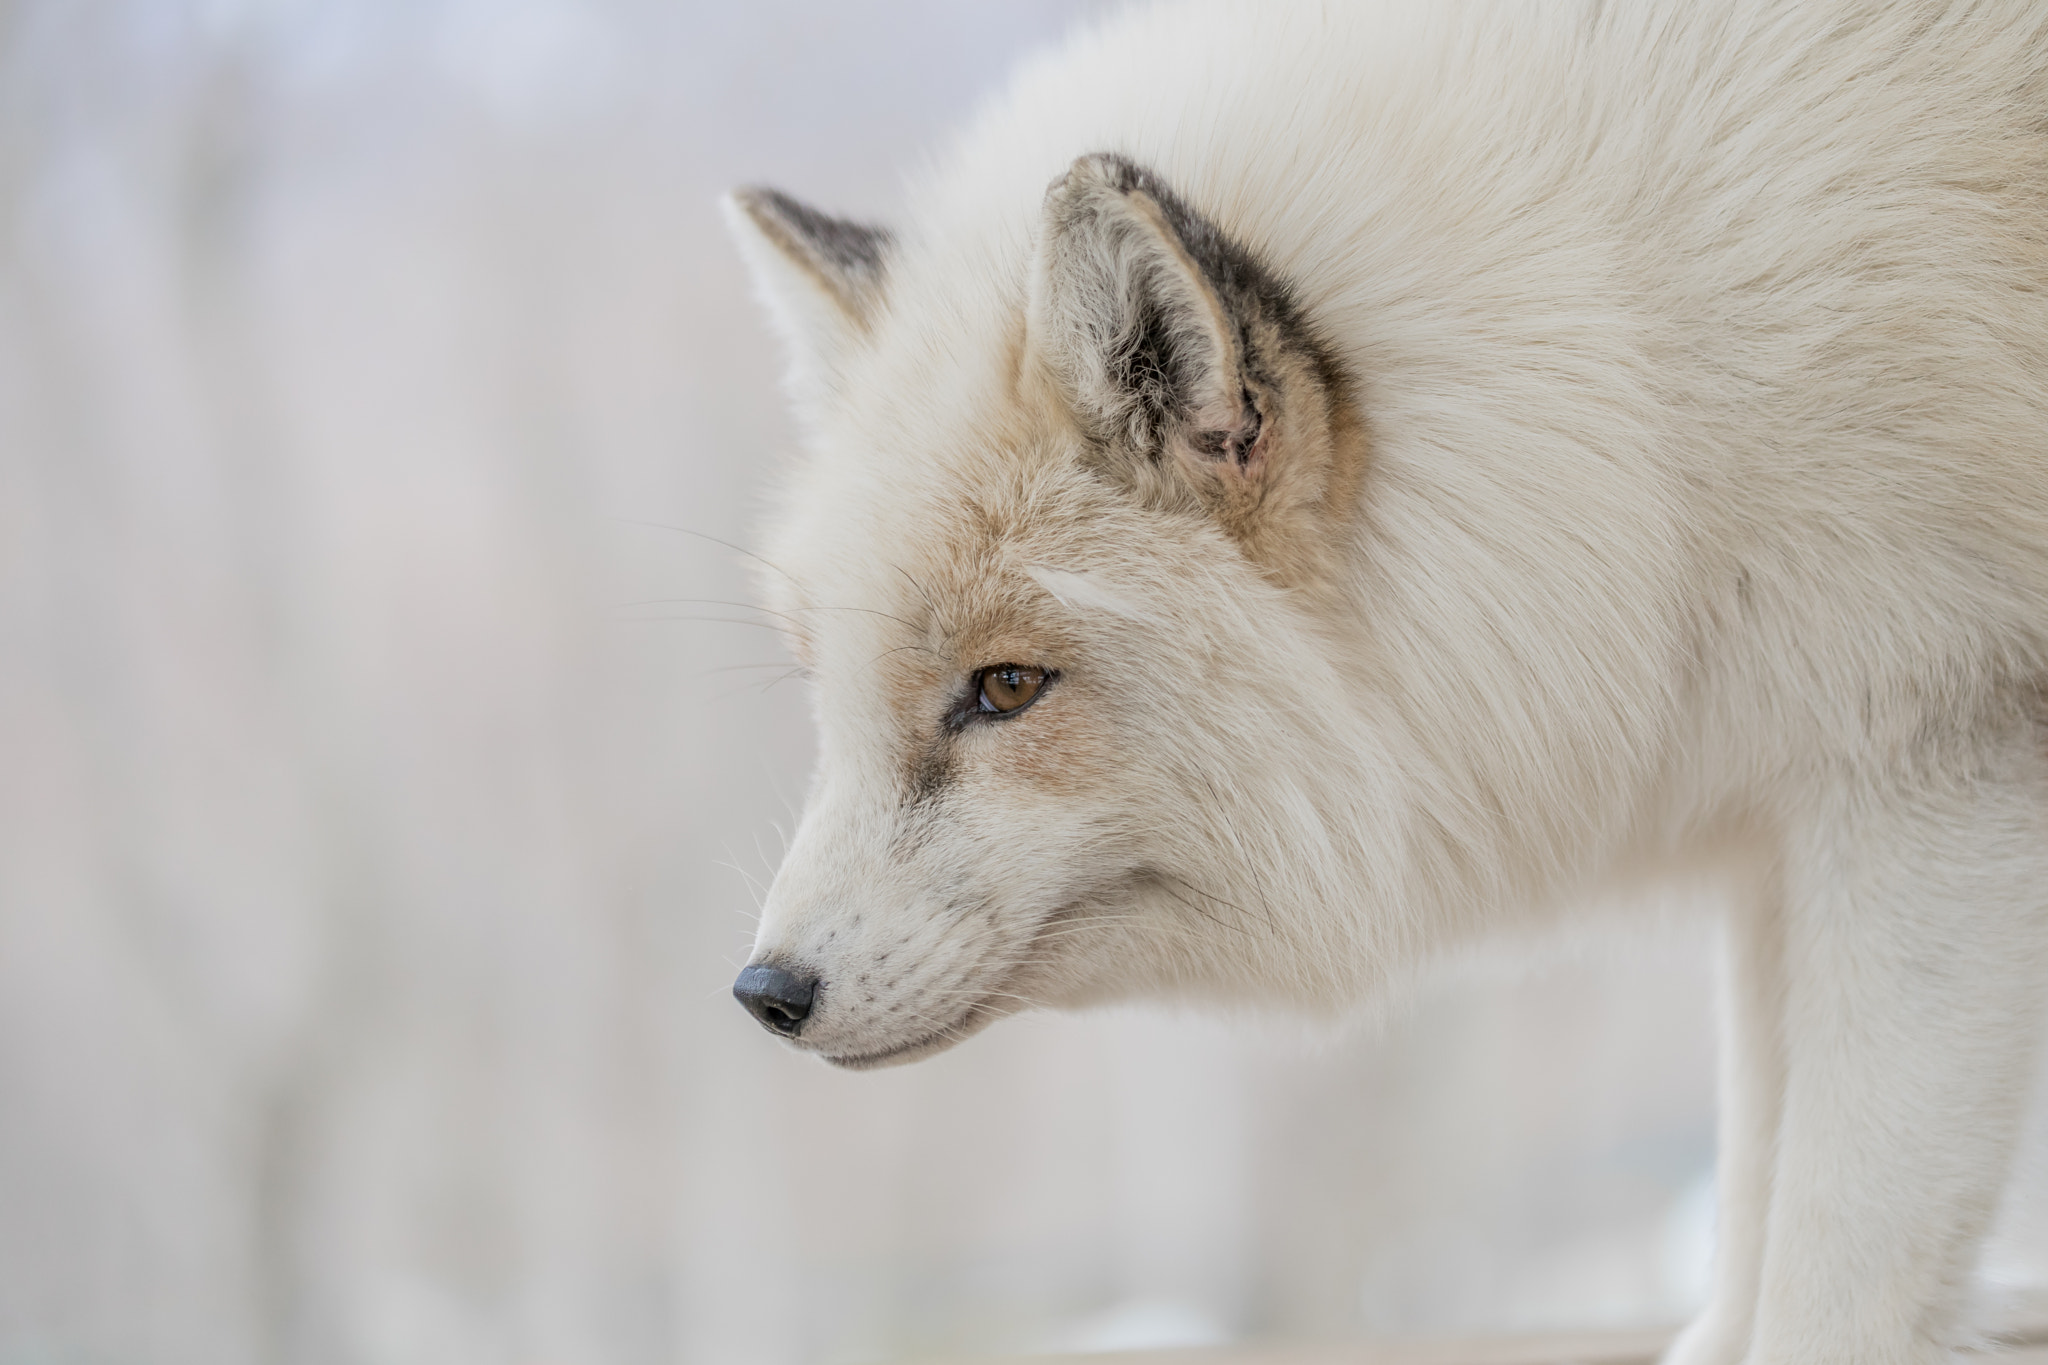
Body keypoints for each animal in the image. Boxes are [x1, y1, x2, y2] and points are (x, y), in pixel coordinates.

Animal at [719, 2, 2048, 1361]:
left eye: (1004, 688)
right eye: (834, 691)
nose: (764, 993)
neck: (1642, 372)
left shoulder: (1935, 752)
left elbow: (1832, 1262)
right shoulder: (1789, 786)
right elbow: (1753, 1212)